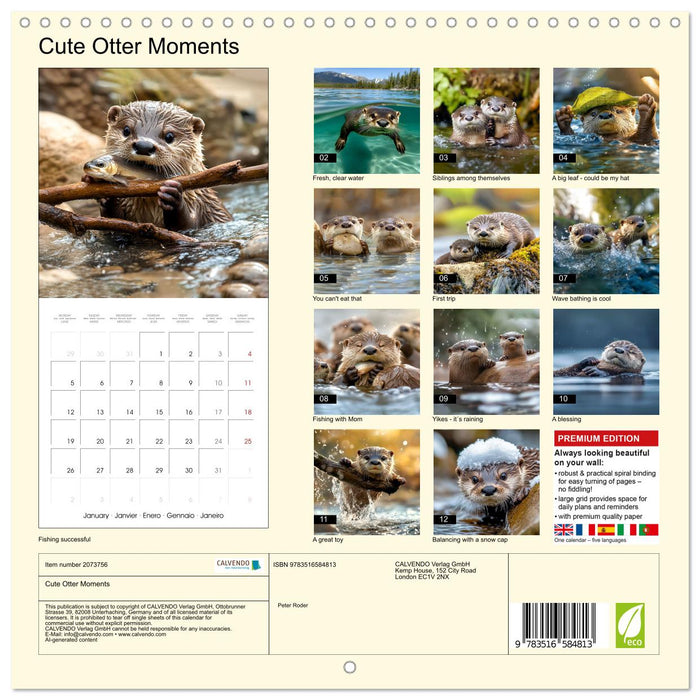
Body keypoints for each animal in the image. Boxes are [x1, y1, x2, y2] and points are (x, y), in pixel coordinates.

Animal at [89, 101, 232, 231]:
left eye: (169, 136)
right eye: (126, 130)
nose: (144, 146)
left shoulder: (205, 208)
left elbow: (188, 226)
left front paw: (172, 197)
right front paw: (107, 195)